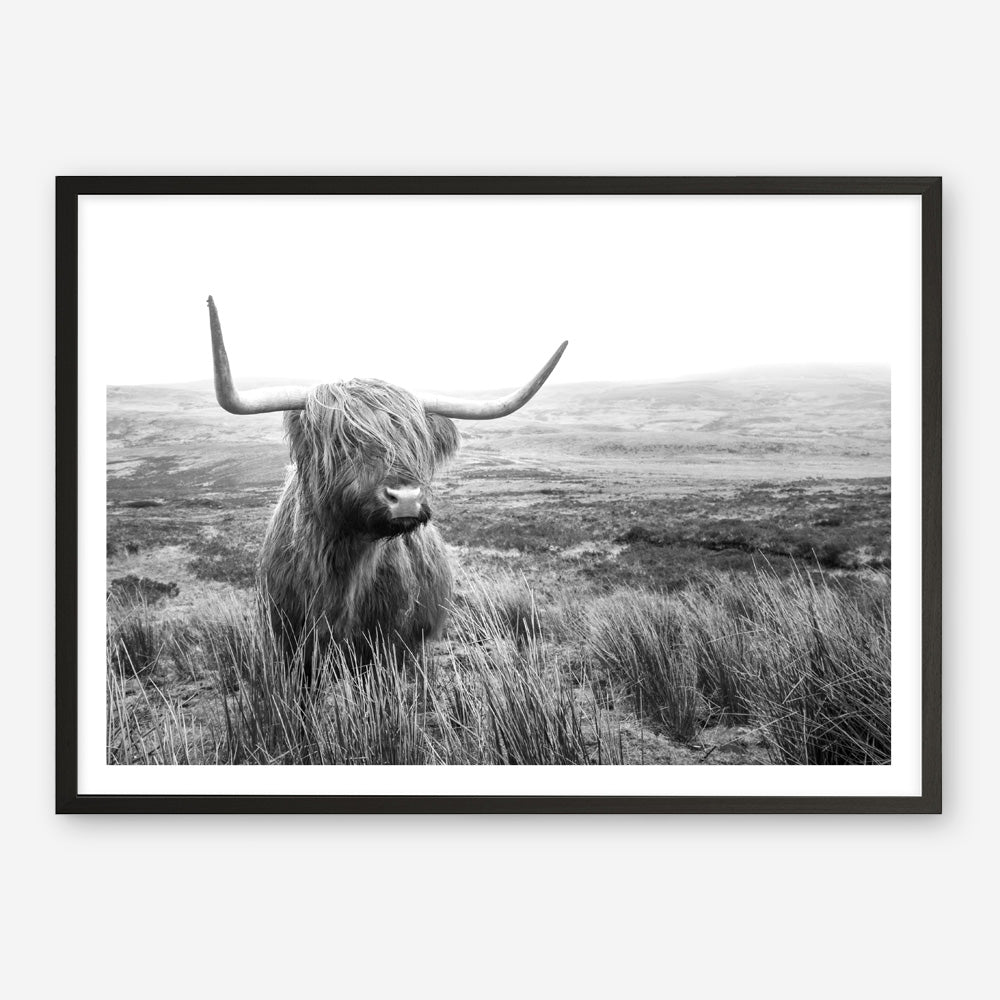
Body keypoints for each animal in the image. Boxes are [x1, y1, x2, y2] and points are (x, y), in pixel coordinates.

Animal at [207, 296, 567, 669]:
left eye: (416, 442)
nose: (406, 498)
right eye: (342, 442)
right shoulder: (289, 643)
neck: (344, 569)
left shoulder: (392, 646)